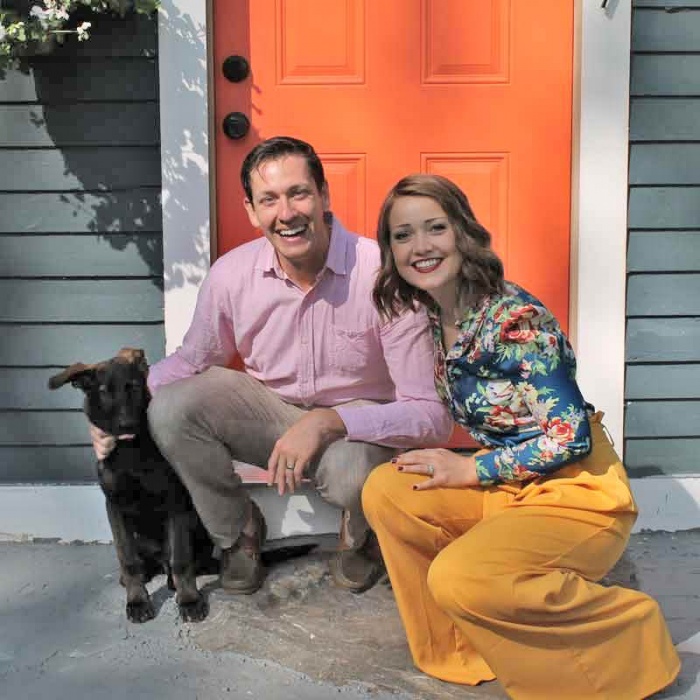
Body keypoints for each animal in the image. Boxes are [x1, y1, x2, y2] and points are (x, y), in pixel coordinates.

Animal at [48, 348, 216, 624]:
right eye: (104, 390)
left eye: (134, 387)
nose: (126, 424)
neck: (130, 452)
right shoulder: (115, 505)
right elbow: (128, 559)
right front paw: (137, 601)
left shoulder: (176, 502)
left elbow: (181, 558)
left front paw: (189, 599)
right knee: (139, 562)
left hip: (197, 524)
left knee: (177, 561)